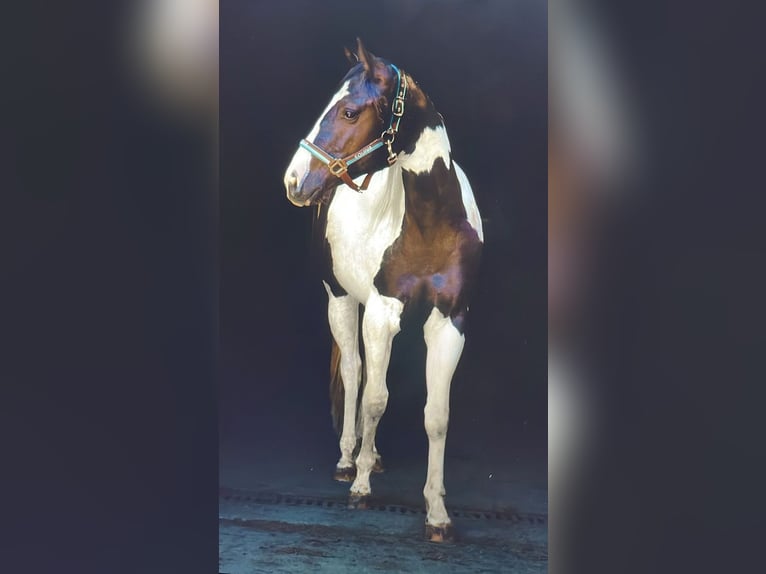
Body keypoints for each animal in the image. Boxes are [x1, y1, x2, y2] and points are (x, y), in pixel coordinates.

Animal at [283, 38, 483, 542]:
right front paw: (360, 485)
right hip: (340, 301)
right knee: (355, 374)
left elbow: (437, 416)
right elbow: (375, 398)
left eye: (350, 111)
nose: (294, 180)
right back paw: (349, 459)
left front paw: (437, 512)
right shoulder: (380, 314)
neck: (431, 224)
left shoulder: (450, 321)